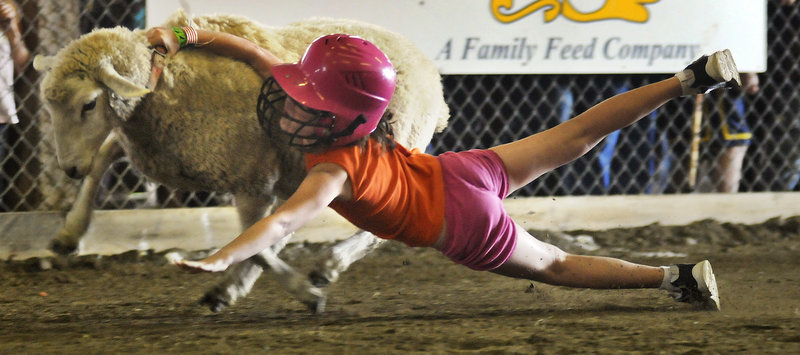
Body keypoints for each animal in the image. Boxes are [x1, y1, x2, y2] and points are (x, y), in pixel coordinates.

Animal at [34, 9, 450, 312]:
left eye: (89, 103)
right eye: (49, 104)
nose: (69, 168)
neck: (166, 80)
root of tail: (430, 70)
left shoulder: (252, 181)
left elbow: (256, 239)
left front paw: (303, 292)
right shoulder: (147, 143)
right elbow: (100, 162)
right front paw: (69, 234)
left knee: (380, 226)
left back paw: (326, 265)